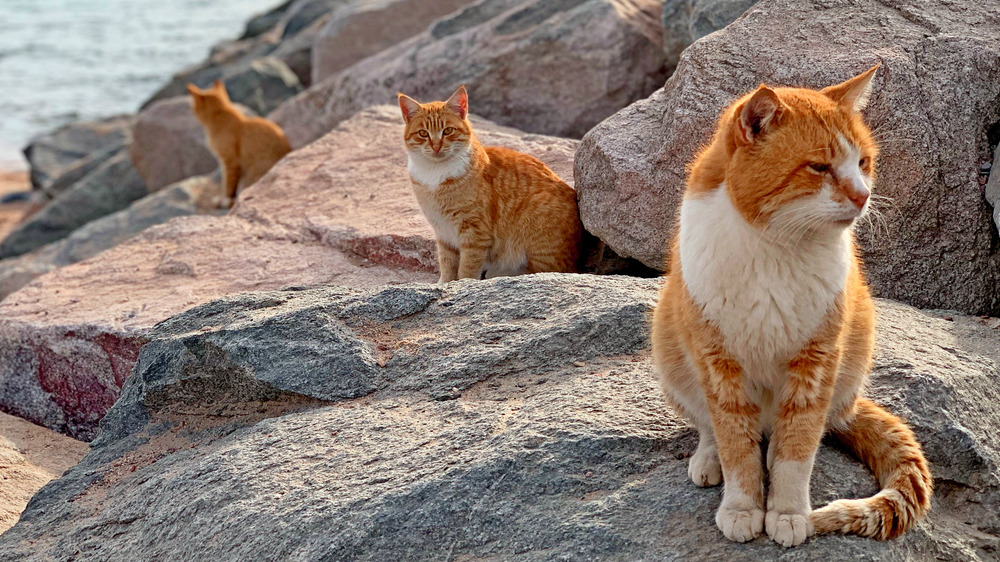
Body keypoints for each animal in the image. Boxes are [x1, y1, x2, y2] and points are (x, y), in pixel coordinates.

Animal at [188, 80, 292, 208]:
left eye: (193, 107)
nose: (191, 111)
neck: (221, 114)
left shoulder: (230, 161)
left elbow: (227, 183)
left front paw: (225, 200)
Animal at [396, 85, 584, 280]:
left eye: (447, 131)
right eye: (423, 133)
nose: (436, 147)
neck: (434, 174)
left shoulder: (474, 232)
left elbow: (467, 267)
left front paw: (463, 282)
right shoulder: (443, 232)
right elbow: (447, 263)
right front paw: (445, 282)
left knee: (545, 271)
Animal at [652, 63, 932, 544]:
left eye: (863, 163)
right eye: (819, 167)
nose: (863, 195)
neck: (776, 247)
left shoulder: (816, 360)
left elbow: (797, 447)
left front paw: (787, 512)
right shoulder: (717, 361)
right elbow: (734, 442)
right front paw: (743, 507)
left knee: (790, 435)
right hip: (671, 351)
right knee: (711, 425)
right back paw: (709, 458)